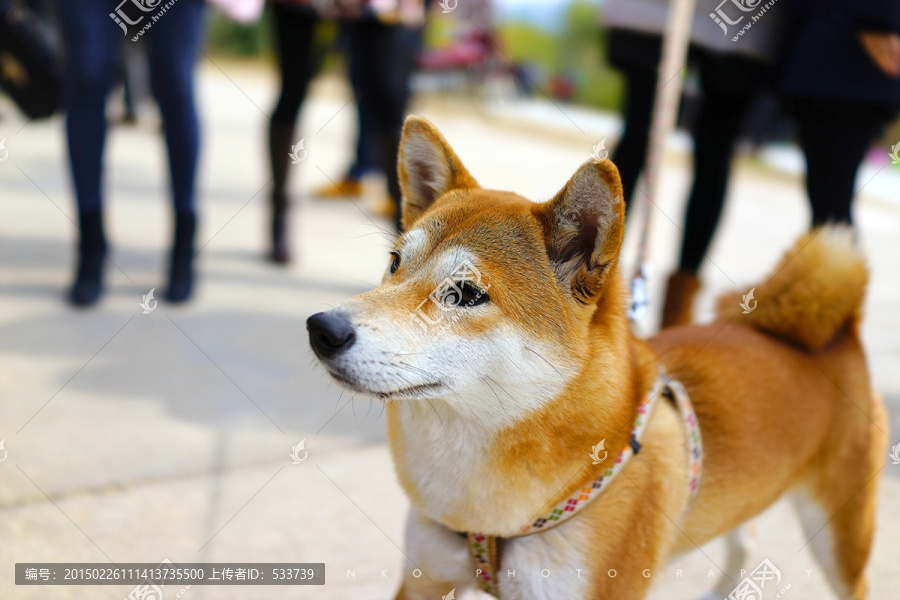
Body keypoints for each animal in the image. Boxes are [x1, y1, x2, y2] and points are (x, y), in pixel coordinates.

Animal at [310, 117, 884, 600]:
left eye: (466, 293)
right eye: (394, 263)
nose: (322, 329)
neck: (487, 515)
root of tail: (839, 335)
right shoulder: (426, 577)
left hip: (841, 539)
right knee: (747, 541)